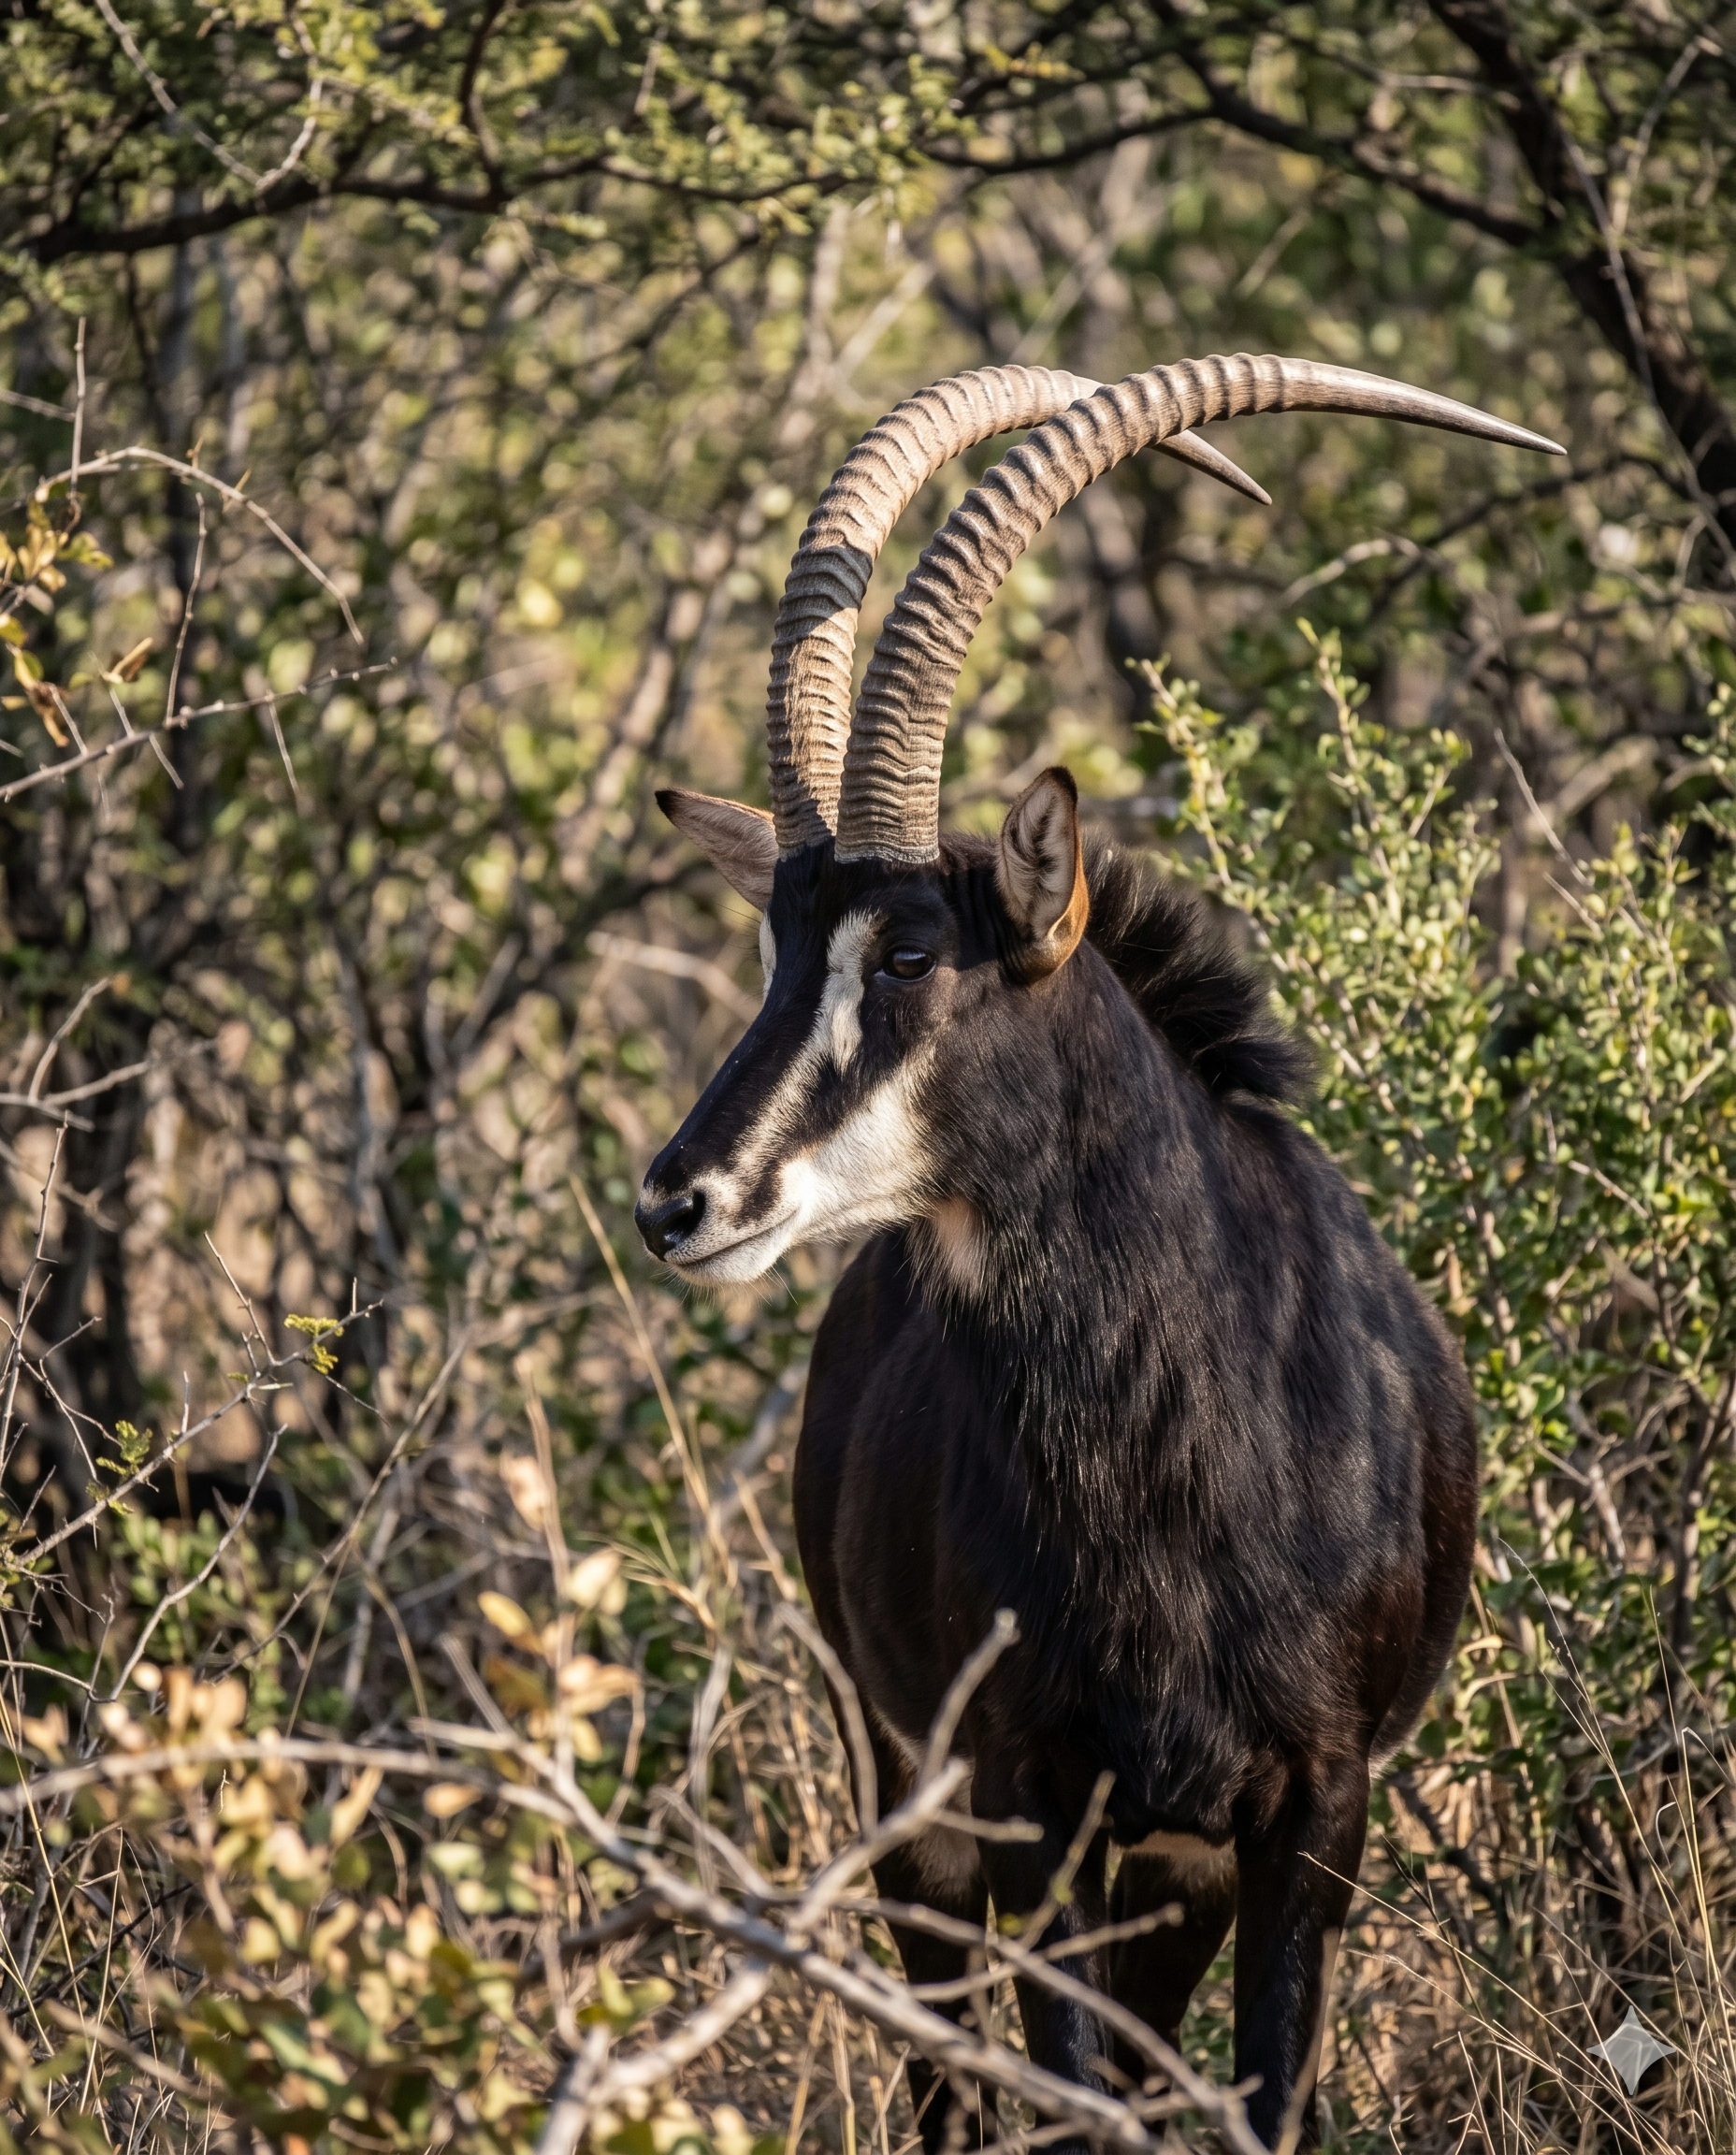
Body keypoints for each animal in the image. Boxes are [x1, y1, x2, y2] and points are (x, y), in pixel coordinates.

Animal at [634, 357, 1559, 2147]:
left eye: (909, 953)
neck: (1187, 1450)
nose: (679, 1199)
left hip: (1171, 1872)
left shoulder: (1310, 1821)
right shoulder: (1037, 1805)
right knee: (952, 2079)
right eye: (777, 944)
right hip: (918, 1807)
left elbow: (1261, 2095)